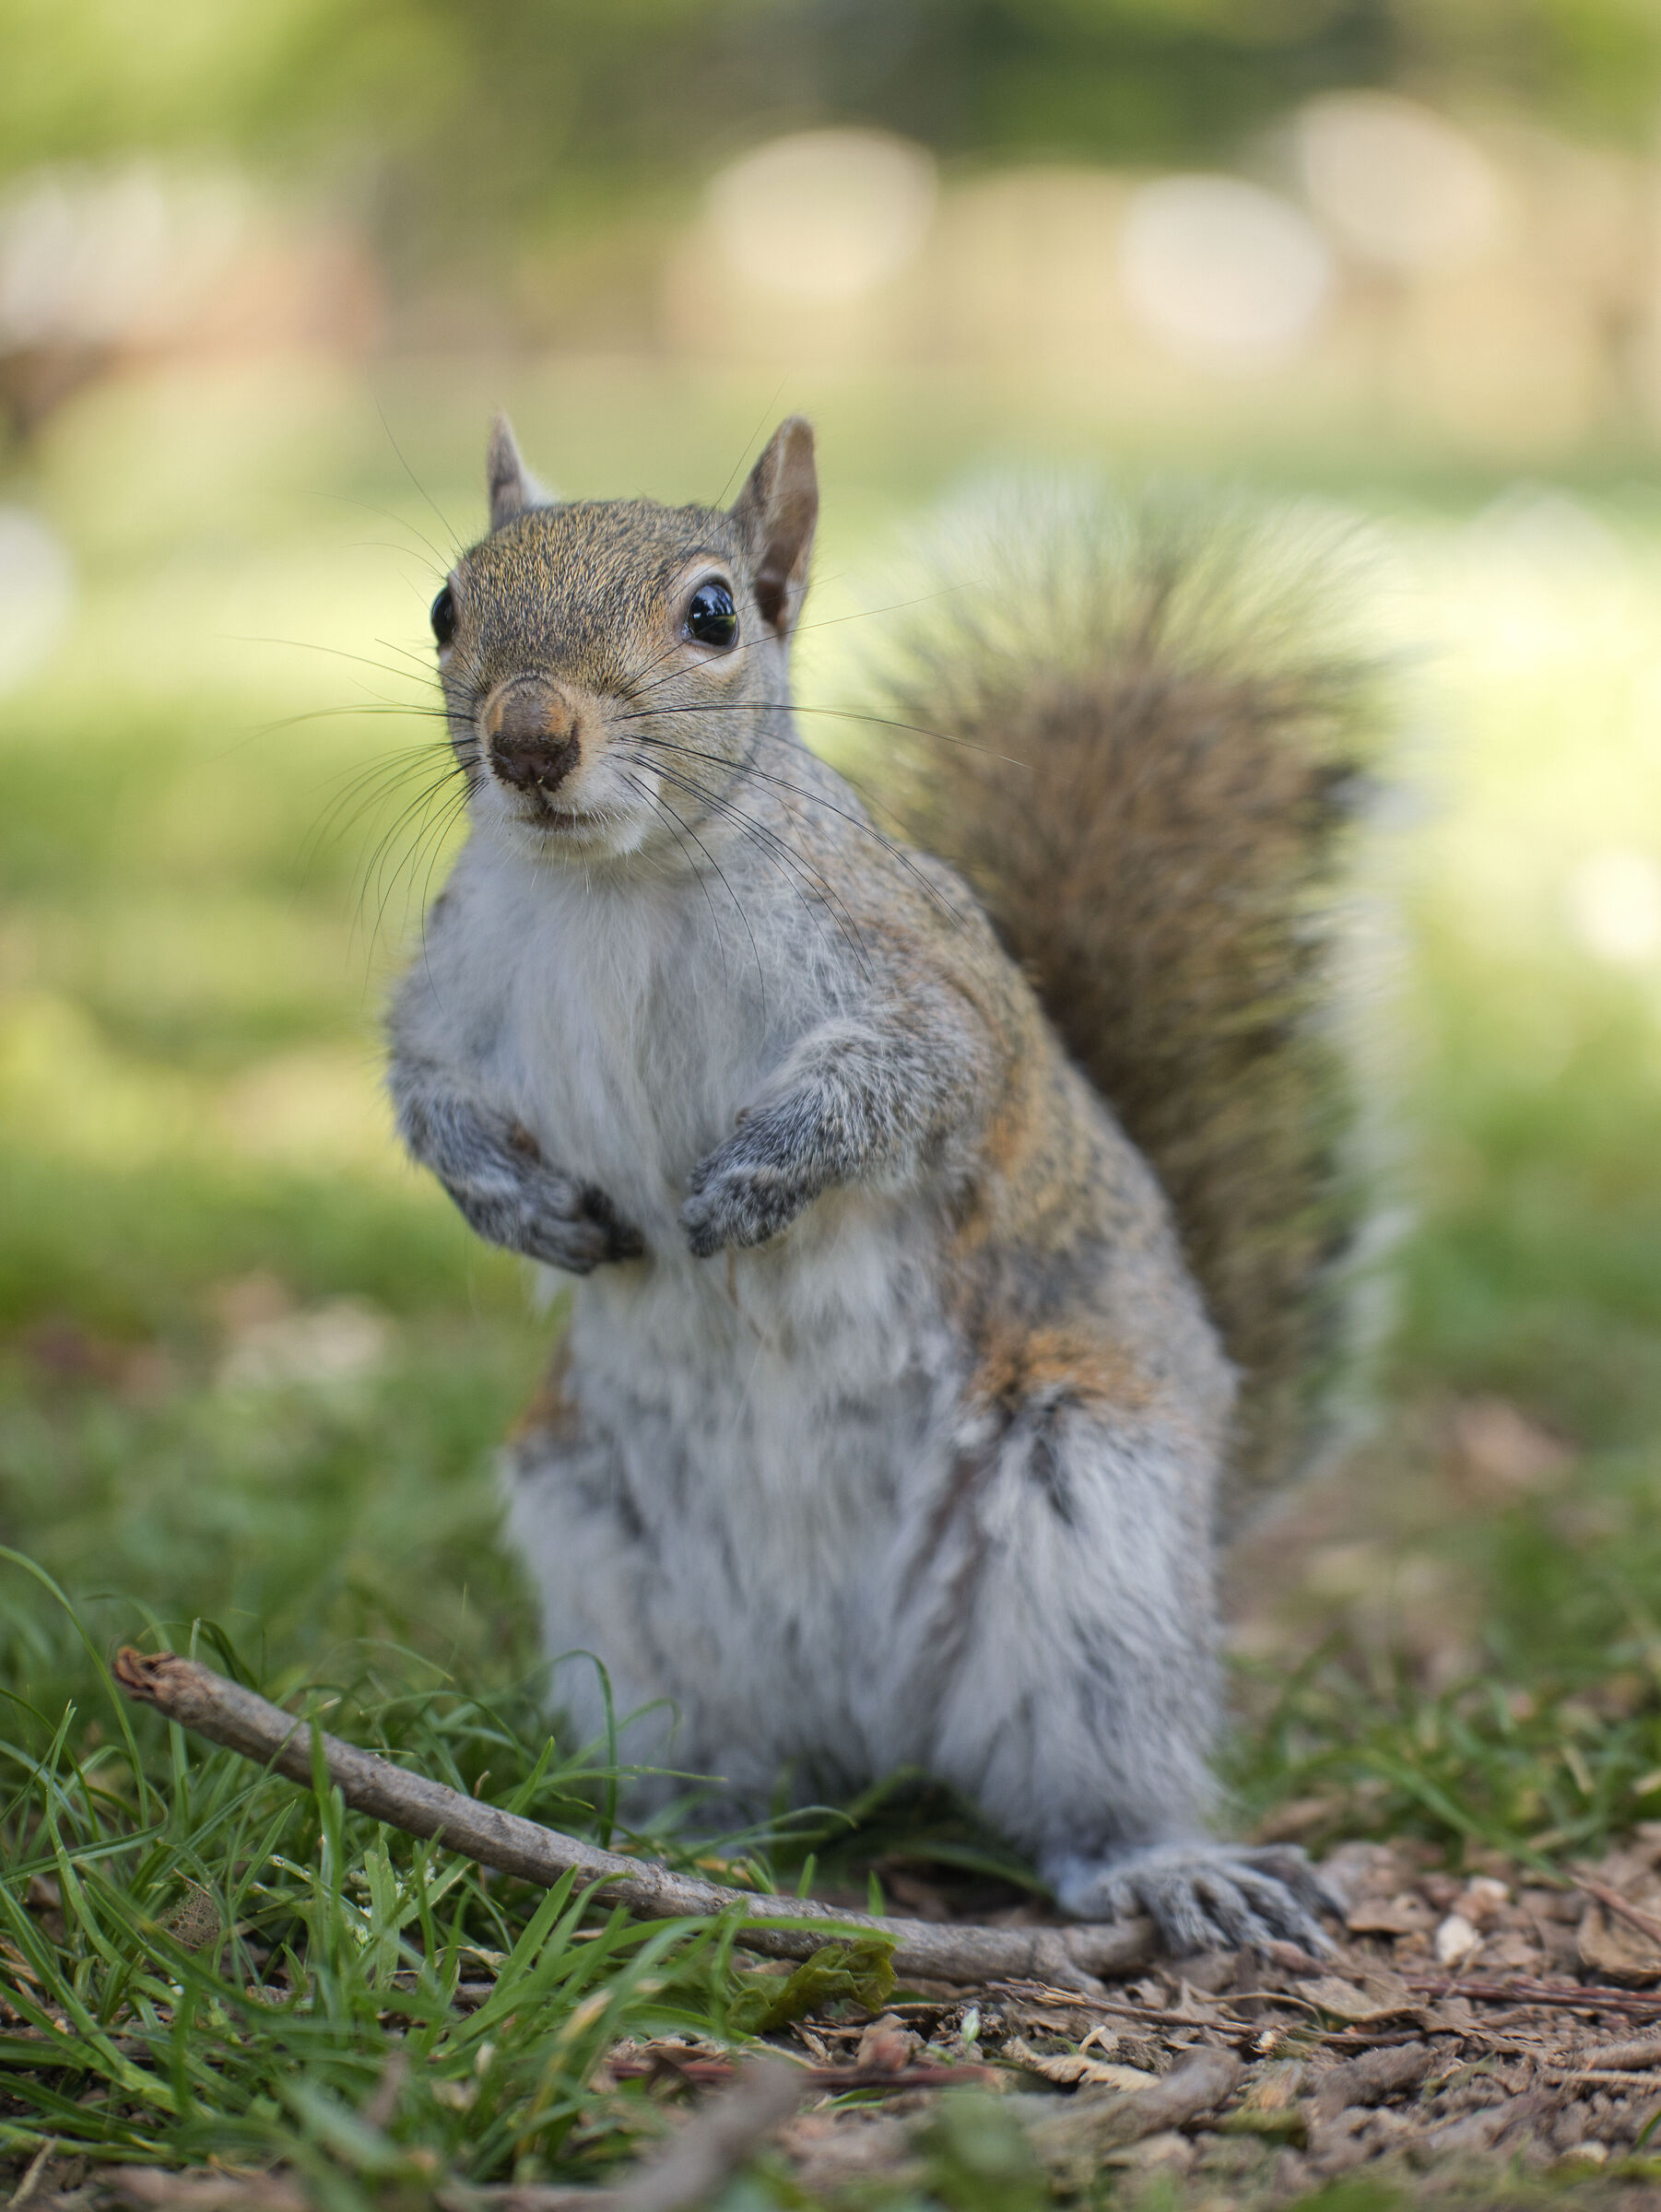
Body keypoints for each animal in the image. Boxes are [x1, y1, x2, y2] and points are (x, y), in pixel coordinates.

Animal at [387, 415, 1367, 1956]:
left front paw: (751, 1185)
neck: (619, 887)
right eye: (444, 606)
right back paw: (681, 1839)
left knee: (1090, 1782)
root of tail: (872, 1725)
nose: (528, 738)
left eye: (713, 614)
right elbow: (425, 1103)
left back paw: (1162, 1866)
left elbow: (909, 1085)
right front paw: (519, 1208)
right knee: (728, 1760)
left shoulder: (920, 987)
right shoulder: (447, 996)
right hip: (619, 1578)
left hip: (1088, 1536)